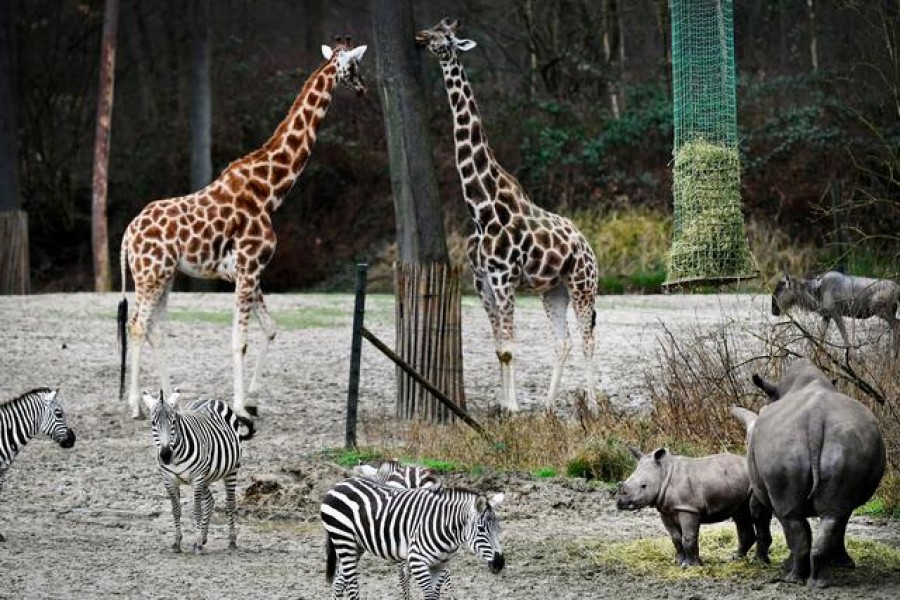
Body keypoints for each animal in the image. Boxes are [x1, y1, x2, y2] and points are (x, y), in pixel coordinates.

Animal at [118, 39, 366, 420]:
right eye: (354, 67)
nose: (364, 88)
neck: (270, 190)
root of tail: (127, 235)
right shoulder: (249, 268)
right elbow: (240, 340)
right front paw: (239, 407)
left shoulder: (250, 273)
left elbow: (271, 330)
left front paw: (252, 398)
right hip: (151, 274)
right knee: (137, 325)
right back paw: (135, 406)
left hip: (165, 276)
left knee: (155, 329)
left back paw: (168, 401)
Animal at [144, 390, 255, 552]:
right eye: (153, 423)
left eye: (173, 422)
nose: (165, 455)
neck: (175, 457)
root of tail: (210, 399)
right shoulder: (168, 480)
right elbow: (176, 510)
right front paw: (177, 542)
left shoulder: (197, 478)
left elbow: (197, 510)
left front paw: (196, 544)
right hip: (206, 477)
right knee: (210, 501)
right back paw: (203, 538)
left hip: (231, 469)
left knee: (229, 503)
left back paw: (231, 540)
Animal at [322, 478, 506, 600]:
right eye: (481, 529)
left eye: (498, 529)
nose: (499, 563)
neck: (444, 526)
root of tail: (338, 484)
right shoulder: (417, 561)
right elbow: (429, 595)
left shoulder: (440, 565)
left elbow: (435, 595)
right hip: (343, 539)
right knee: (351, 585)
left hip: (355, 546)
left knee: (339, 584)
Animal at [414, 18, 596, 412]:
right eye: (433, 27)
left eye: (445, 36)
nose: (419, 37)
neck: (481, 207)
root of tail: (588, 247)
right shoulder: (482, 280)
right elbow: (500, 348)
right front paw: (501, 406)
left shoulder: (504, 278)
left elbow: (510, 348)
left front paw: (512, 409)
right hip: (553, 290)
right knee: (563, 341)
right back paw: (547, 407)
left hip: (582, 284)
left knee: (587, 338)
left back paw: (592, 405)